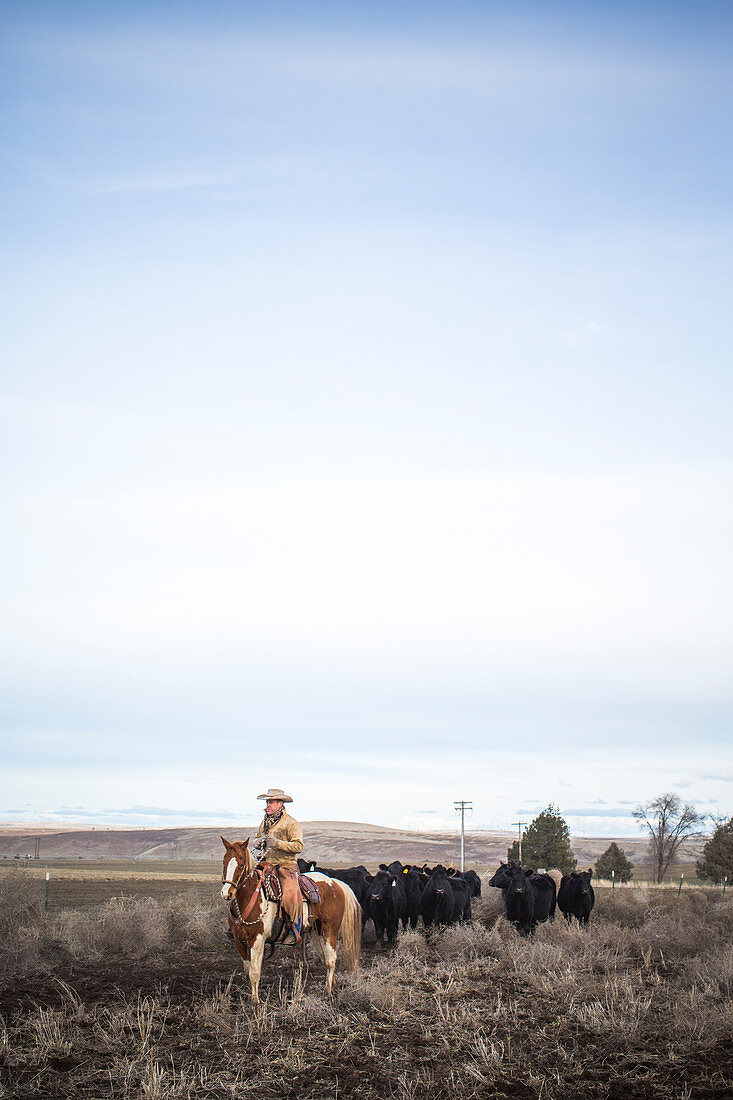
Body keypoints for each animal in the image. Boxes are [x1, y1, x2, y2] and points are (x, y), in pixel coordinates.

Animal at [221, 836, 360, 1003]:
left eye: (241, 865)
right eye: (224, 862)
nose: (227, 893)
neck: (249, 897)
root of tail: (335, 882)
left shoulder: (257, 940)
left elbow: (254, 973)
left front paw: (255, 1003)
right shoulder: (239, 941)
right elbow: (247, 971)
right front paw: (249, 997)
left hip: (330, 930)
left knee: (331, 959)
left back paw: (327, 992)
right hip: (316, 932)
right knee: (325, 959)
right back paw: (332, 988)